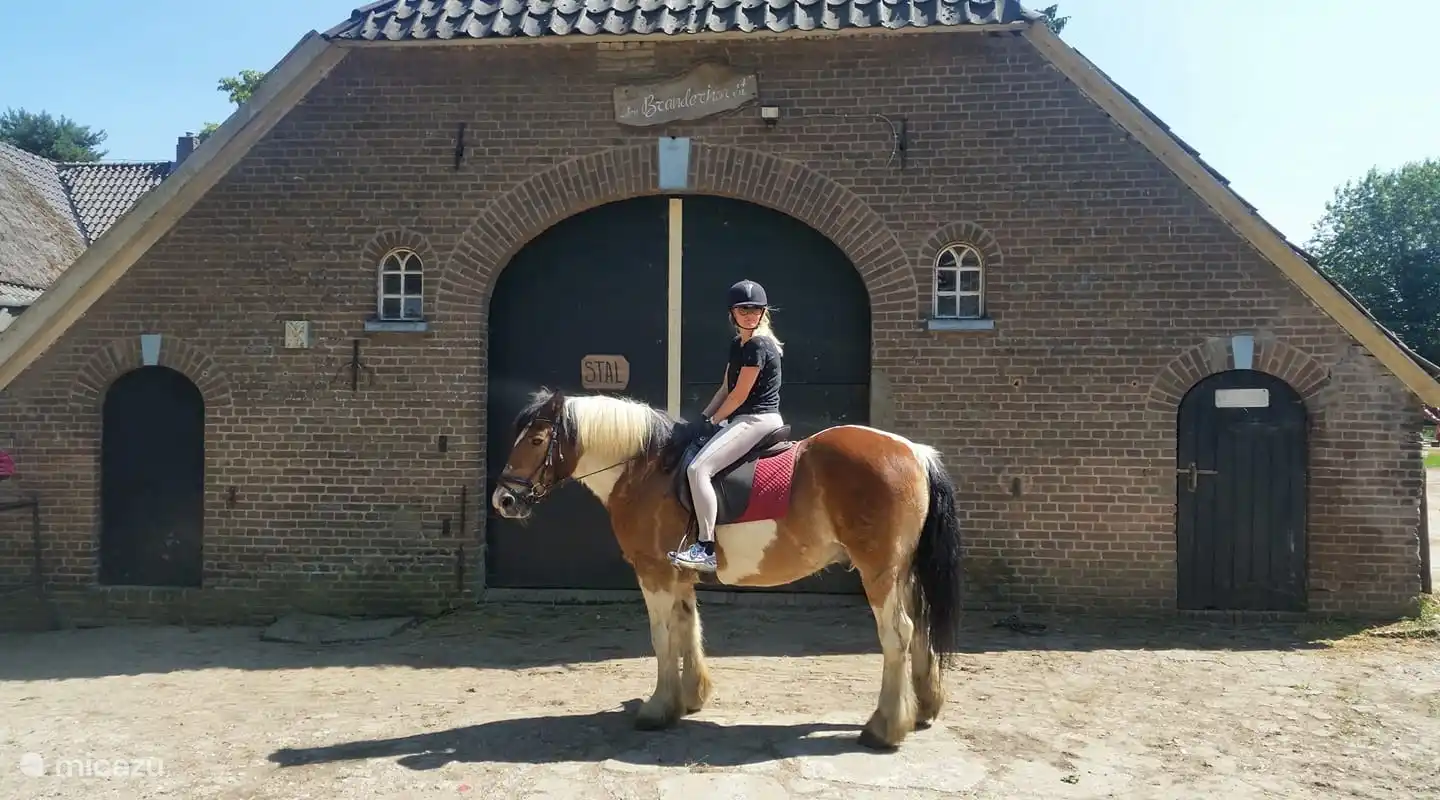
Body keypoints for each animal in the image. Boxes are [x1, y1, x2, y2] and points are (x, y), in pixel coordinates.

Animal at [489, 387, 964, 750]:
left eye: (536, 440)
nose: (503, 500)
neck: (645, 469)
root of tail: (914, 452)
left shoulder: (653, 573)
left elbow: (662, 637)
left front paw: (657, 708)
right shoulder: (678, 573)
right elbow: (687, 627)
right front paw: (688, 698)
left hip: (879, 572)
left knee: (897, 634)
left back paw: (884, 728)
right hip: (903, 572)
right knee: (920, 627)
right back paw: (922, 709)